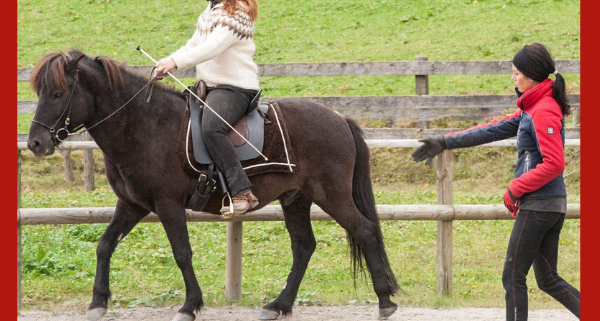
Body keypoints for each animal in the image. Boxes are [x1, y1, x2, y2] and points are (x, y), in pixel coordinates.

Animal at [27, 49, 398, 320]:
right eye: (40, 92)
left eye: (58, 93)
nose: (35, 144)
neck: (144, 126)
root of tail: (340, 118)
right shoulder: (132, 205)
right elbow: (105, 245)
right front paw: (98, 302)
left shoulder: (167, 205)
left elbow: (181, 253)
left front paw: (190, 305)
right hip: (296, 199)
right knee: (304, 246)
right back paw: (279, 305)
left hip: (330, 195)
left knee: (364, 230)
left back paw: (385, 301)